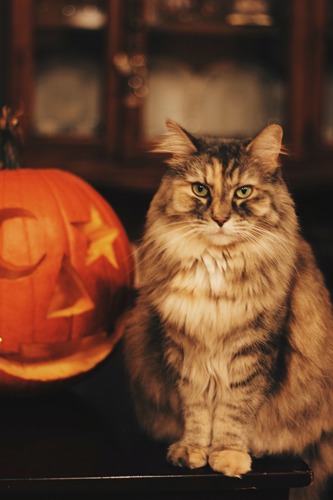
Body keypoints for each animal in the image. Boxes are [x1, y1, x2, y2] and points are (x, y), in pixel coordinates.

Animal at [123, 121, 332, 500]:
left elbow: (235, 410)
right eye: (201, 189)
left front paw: (227, 455)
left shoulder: (254, 351)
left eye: (243, 192)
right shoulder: (184, 349)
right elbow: (196, 408)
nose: (220, 219)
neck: (216, 269)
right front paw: (192, 450)